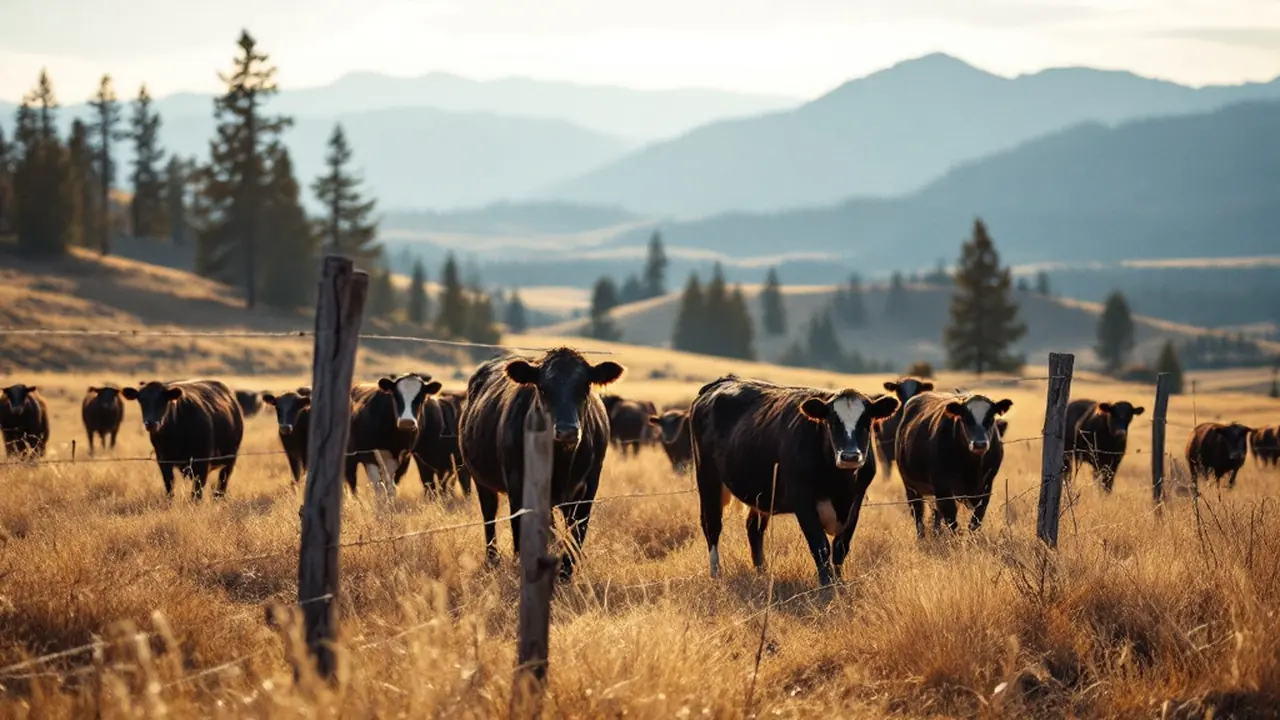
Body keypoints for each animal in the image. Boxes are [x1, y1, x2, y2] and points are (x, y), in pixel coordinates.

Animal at [458, 347, 623, 580]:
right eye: (544, 389)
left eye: (585, 386)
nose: (567, 431)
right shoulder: (518, 484)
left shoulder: (587, 488)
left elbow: (576, 533)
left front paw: (566, 573)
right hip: (481, 481)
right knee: (489, 516)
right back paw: (492, 559)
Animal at [688, 376, 899, 586]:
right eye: (831, 422)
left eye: (866, 422)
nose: (850, 456)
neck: (839, 486)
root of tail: (723, 381)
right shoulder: (802, 500)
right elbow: (820, 546)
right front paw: (827, 586)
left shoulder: (856, 501)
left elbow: (841, 547)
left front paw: (839, 583)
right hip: (708, 478)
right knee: (712, 525)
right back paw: (716, 574)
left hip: (760, 494)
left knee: (754, 529)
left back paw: (762, 573)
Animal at [895, 392, 1013, 539]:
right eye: (965, 417)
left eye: (991, 417)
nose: (979, 444)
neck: (973, 468)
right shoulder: (942, 487)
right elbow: (951, 520)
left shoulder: (987, 486)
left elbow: (976, 520)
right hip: (911, 487)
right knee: (918, 513)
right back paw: (922, 537)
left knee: (935, 513)